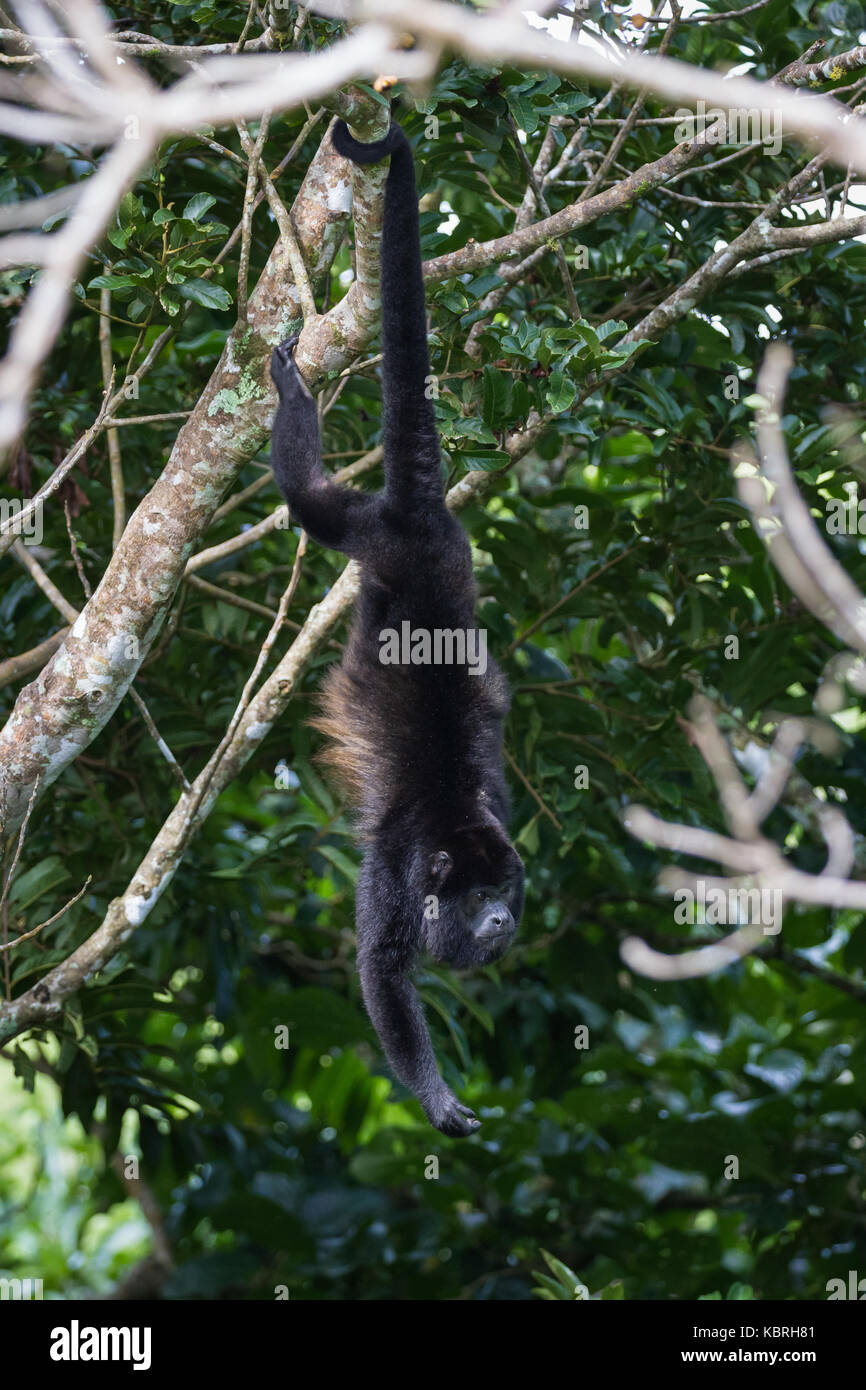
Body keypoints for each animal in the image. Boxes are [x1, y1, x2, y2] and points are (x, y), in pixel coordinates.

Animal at [269, 119, 525, 1137]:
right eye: (479, 896)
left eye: (507, 892)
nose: (503, 920)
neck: (453, 829)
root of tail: (419, 516)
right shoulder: (393, 862)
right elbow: (379, 969)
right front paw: (437, 1095)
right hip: (370, 528)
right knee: (310, 502)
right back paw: (291, 394)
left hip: (447, 547)